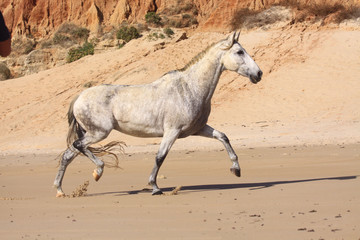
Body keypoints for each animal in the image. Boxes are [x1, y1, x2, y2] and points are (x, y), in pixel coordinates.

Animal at [53, 31, 262, 197]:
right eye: (239, 52)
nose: (258, 74)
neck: (190, 88)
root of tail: (79, 97)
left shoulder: (198, 129)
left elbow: (223, 137)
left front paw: (236, 169)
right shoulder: (172, 131)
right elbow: (160, 157)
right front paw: (155, 187)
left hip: (91, 133)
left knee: (69, 154)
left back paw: (60, 190)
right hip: (98, 133)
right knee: (78, 146)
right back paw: (98, 171)